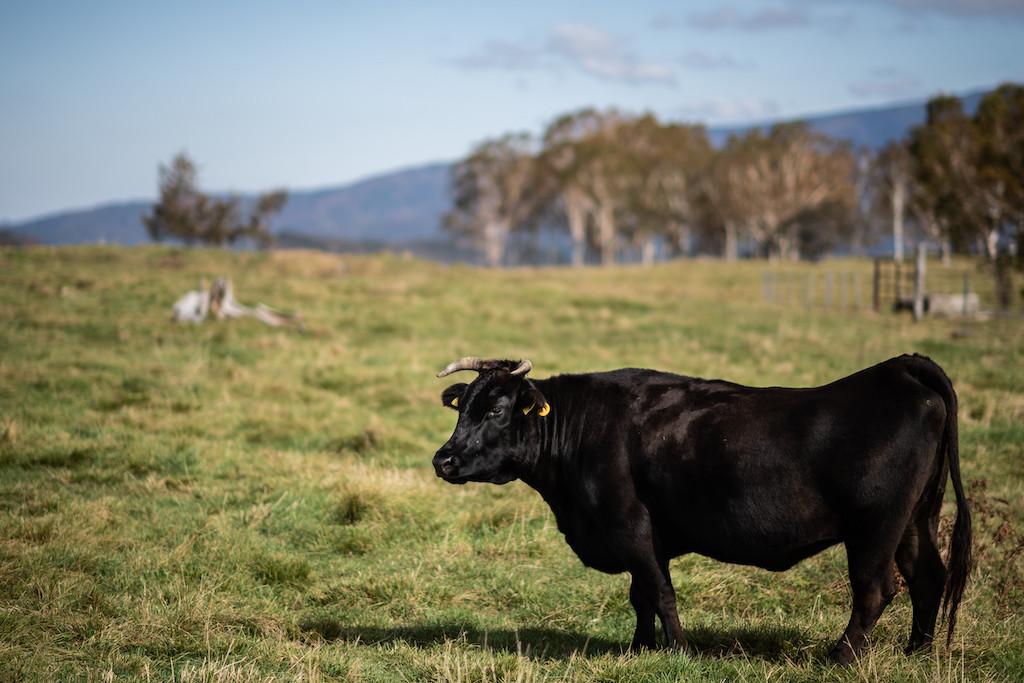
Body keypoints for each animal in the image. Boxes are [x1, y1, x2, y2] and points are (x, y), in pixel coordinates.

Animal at [430, 356, 966, 663]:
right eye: (462, 408)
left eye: (496, 409)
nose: (443, 459)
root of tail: (899, 368)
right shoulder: (647, 538)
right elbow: (641, 595)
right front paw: (638, 650)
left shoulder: (630, 527)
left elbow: (660, 594)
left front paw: (681, 653)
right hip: (917, 518)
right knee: (927, 579)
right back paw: (916, 654)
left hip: (876, 528)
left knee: (875, 591)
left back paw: (840, 659)